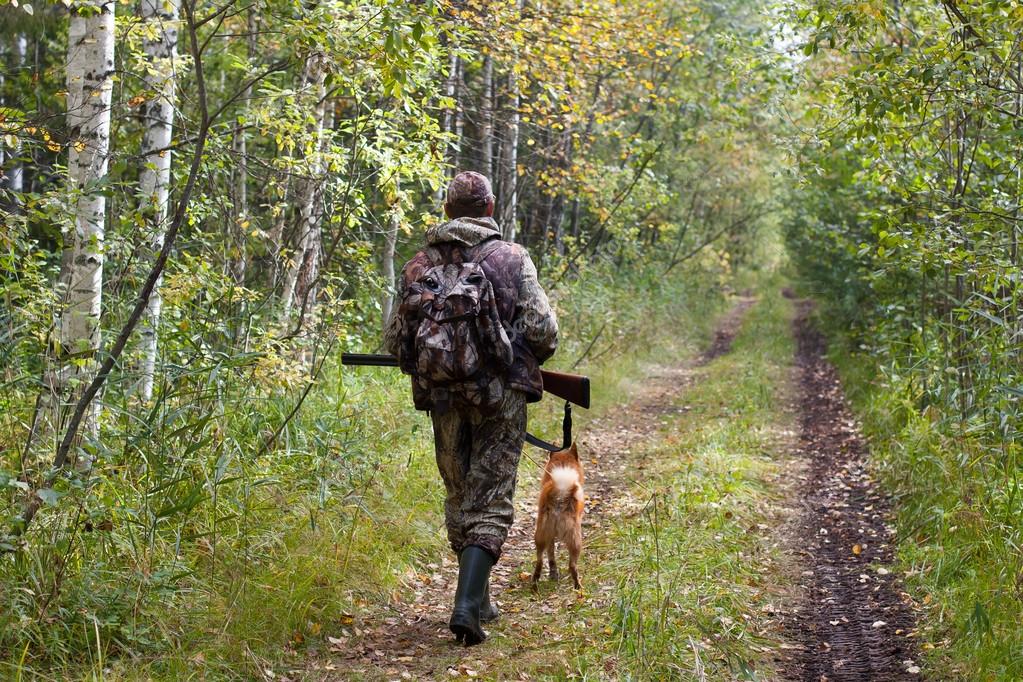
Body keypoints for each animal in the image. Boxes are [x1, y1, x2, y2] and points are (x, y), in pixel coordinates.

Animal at [531, 445, 589, 588]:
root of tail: (561, 495)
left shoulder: (550, 538)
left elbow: (551, 556)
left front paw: (553, 573)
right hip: (576, 541)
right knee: (572, 565)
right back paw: (578, 586)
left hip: (541, 536)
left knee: (540, 560)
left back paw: (535, 581)